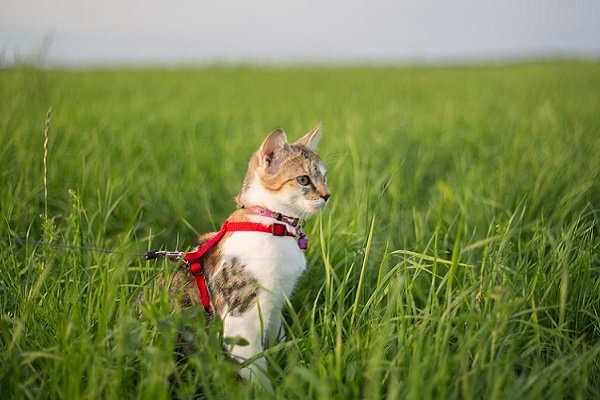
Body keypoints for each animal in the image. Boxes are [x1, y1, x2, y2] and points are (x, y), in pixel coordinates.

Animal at [152, 123, 330, 390]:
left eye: (324, 177)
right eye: (303, 179)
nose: (327, 195)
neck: (272, 224)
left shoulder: (277, 304)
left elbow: (277, 341)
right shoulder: (241, 319)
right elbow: (256, 368)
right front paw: (270, 391)